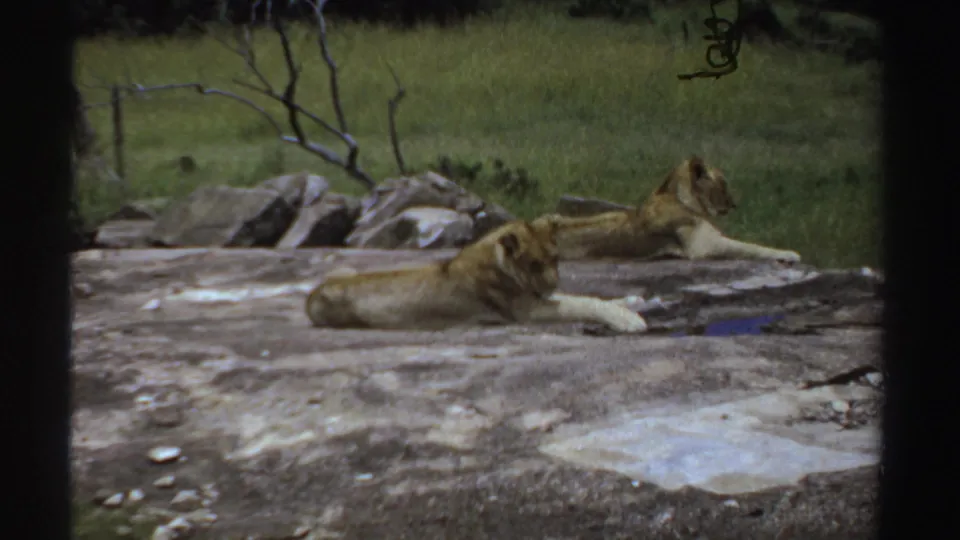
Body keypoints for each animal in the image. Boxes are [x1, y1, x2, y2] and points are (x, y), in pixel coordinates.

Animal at [305, 219, 648, 332]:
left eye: (555, 259)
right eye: (533, 264)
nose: (553, 282)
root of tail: (311, 295)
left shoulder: (538, 297)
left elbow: (586, 295)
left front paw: (632, 300)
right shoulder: (526, 311)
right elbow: (583, 303)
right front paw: (629, 320)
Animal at [532, 156, 802, 262]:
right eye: (723, 183)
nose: (734, 204)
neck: (682, 199)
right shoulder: (702, 247)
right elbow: (750, 247)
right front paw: (789, 254)